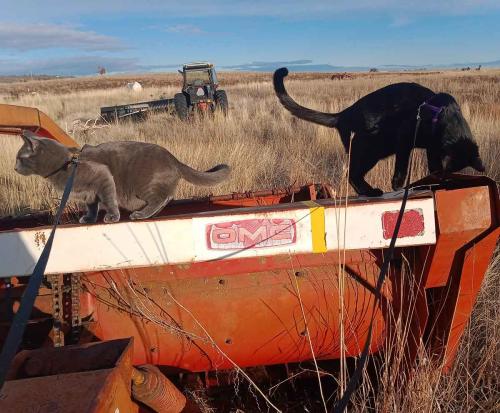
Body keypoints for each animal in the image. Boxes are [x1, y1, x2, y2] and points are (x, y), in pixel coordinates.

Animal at [15, 131, 230, 222]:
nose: (14, 168)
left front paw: (112, 217)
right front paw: (89, 218)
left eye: (19, 158)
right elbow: (91, 206)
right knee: (166, 197)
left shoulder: (102, 176)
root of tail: (174, 159)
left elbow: (109, 200)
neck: (67, 163)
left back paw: (140, 214)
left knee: (161, 197)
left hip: (144, 184)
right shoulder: (89, 195)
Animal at [274, 67, 484, 196]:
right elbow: (401, 167)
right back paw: (370, 191)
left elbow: (433, 165)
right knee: (352, 173)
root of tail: (344, 114)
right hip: (371, 150)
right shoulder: (404, 140)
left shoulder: (432, 148)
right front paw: (399, 186)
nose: (446, 176)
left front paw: (434, 179)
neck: (444, 115)